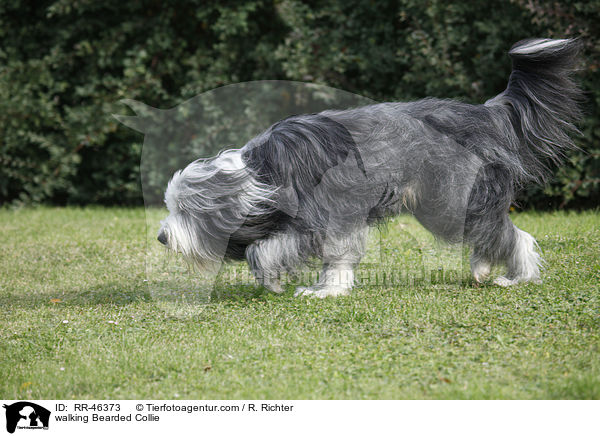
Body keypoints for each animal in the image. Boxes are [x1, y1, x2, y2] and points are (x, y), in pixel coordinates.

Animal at [156, 38, 580, 296]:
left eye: (188, 211)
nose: (161, 237)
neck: (262, 177)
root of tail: (481, 113)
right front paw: (321, 287)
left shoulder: (326, 215)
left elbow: (268, 251)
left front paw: (305, 287)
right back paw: (482, 268)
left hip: (448, 199)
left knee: (511, 234)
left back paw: (516, 276)